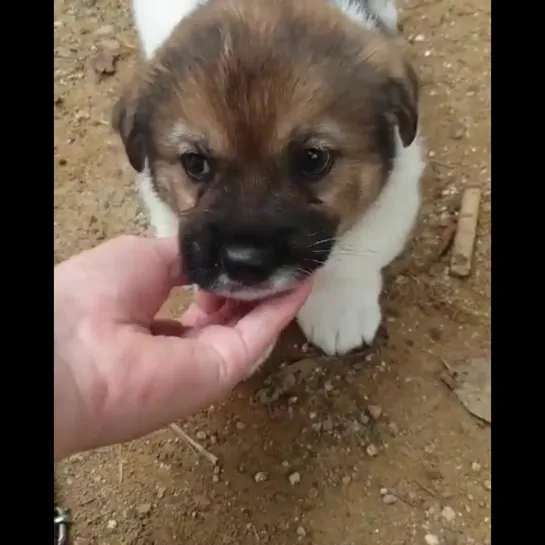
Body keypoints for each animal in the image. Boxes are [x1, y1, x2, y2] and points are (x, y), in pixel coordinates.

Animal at [111, 0, 424, 356]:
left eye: (313, 159)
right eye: (195, 163)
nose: (243, 262)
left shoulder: (397, 189)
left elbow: (356, 255)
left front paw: (338, 307)